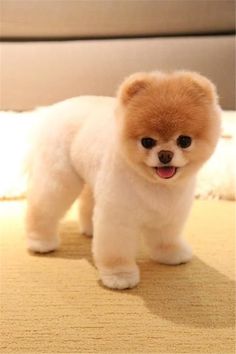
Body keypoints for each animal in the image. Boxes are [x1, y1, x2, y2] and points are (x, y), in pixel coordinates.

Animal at [26, 70, 221, 290]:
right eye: (147, 142)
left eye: (185, 141)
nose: (165, 155)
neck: (156, 185)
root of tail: (55, 108)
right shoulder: (118, 217)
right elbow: (116, 250)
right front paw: (120, 275)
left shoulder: (170, 213)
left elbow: (166, 237)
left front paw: (171, 254)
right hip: (59, 179)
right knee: (44, 205)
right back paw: (40, 241)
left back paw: (89, 230)